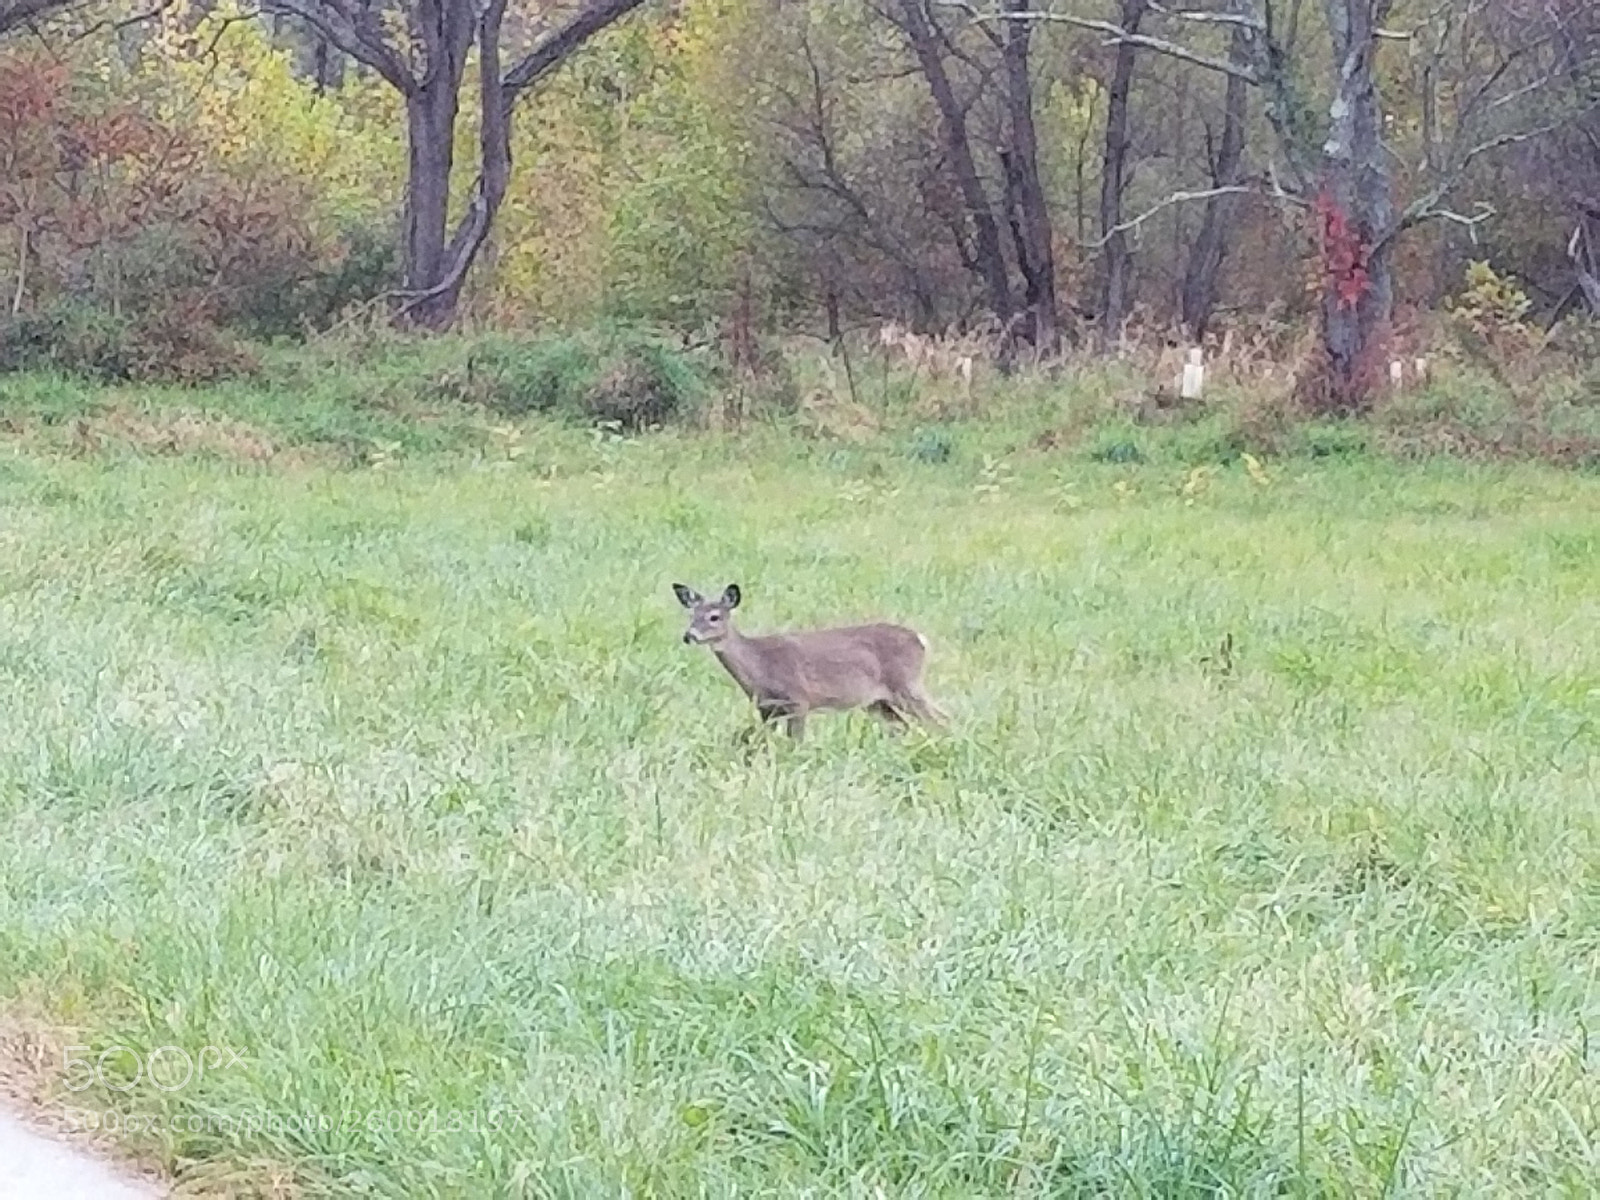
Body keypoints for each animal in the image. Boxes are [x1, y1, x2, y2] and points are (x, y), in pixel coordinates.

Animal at [672, 582, 946, 740]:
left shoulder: (798, 699)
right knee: (904, 725)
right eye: (691, 615)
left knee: (940, 719)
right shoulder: (766, 708)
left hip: (906, 684)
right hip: (878, 701)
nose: (688, 636)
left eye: (714, 617)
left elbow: (796, 742)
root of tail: (920, 639)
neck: (759, 665)